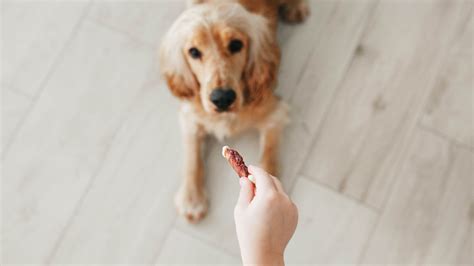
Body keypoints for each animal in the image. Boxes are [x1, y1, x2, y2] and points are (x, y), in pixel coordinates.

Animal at [160, 0, 312, 222]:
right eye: (194, 52)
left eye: (236, 45)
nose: (222, 99)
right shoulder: (191, 117)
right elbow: (192, 156)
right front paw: (192, 199)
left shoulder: (275, 112)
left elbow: (269, 154)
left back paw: (297, 9)